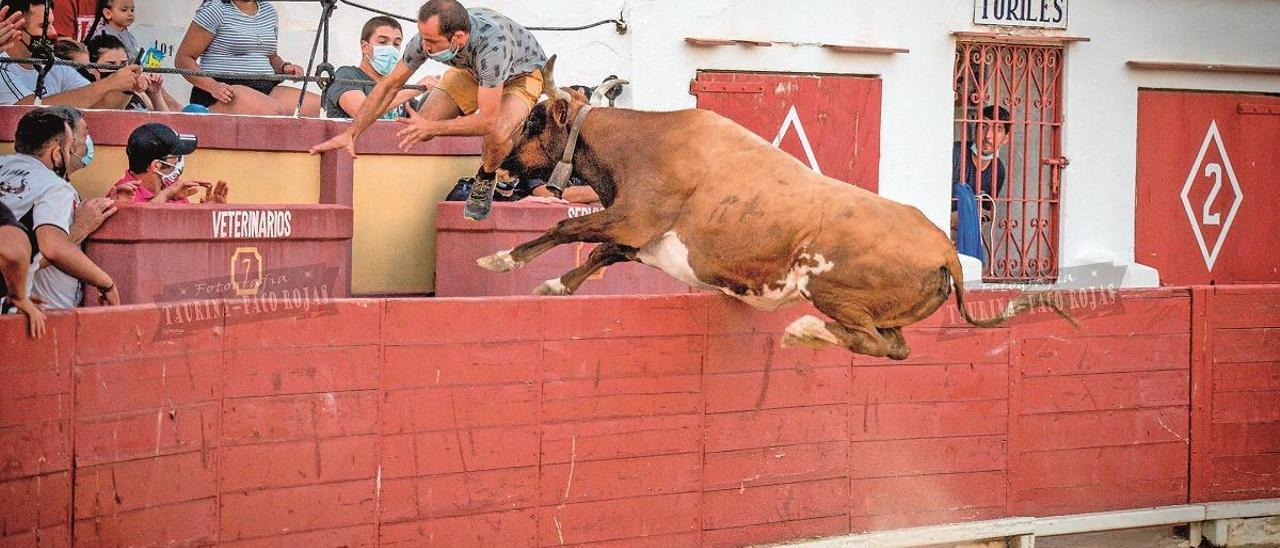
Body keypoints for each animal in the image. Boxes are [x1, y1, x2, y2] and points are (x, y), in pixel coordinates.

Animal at [476, 57, 1075, 358]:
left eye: (533, 120)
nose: (496, 166)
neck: (641, 141)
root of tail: (946, 249)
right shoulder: (640, 237)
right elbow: (598, 255)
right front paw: (552, 287)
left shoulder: (636, 217)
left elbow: (564, 228)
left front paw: (502, 260)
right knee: (897, 347)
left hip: (826, 285)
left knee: (871, 340)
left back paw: (803, 331)